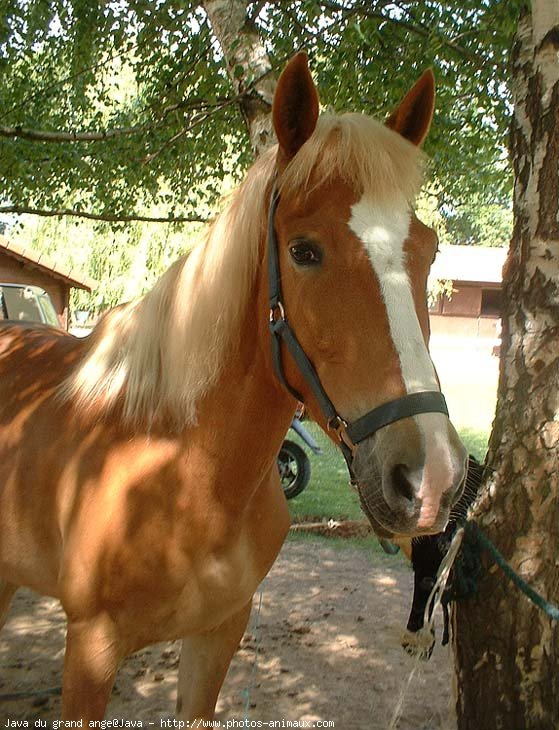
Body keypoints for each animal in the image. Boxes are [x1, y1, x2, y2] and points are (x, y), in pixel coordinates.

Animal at [0, 54, 468, 720]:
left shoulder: (219, 634)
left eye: (427, 250)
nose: (432, 478)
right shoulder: (89, 653)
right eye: (303, 250)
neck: (186, 470)